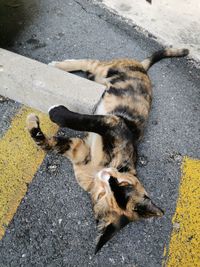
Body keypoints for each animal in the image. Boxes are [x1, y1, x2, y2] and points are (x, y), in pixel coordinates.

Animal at [26, 48, 189, 255]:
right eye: (123, 186)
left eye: (115, 191)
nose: (108, 175)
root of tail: (142, 68)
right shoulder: (113, 123)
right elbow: (84, 120)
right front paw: (56, 111)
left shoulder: (78, 149)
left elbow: (51, 142)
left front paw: (35, 124)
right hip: (106, 69)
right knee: (86, 62)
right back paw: (59, 65)